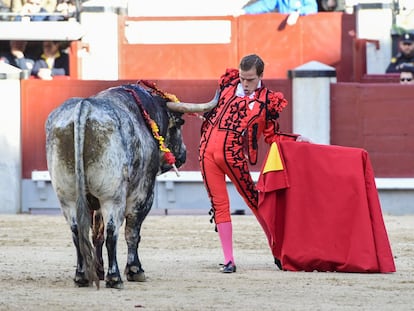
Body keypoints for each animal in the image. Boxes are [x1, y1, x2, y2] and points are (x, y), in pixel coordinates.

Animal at [45, 83, 218, 290]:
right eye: (178, 124)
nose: (183, 154)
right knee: (113, 232)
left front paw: (99, 270)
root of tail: (84, 107)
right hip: (112, 197)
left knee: (77, 231)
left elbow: (96, 234)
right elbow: (132, 233)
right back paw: (115, 278)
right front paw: (135, 270)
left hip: (68, 197)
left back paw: (82, 276)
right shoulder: (142, 195)